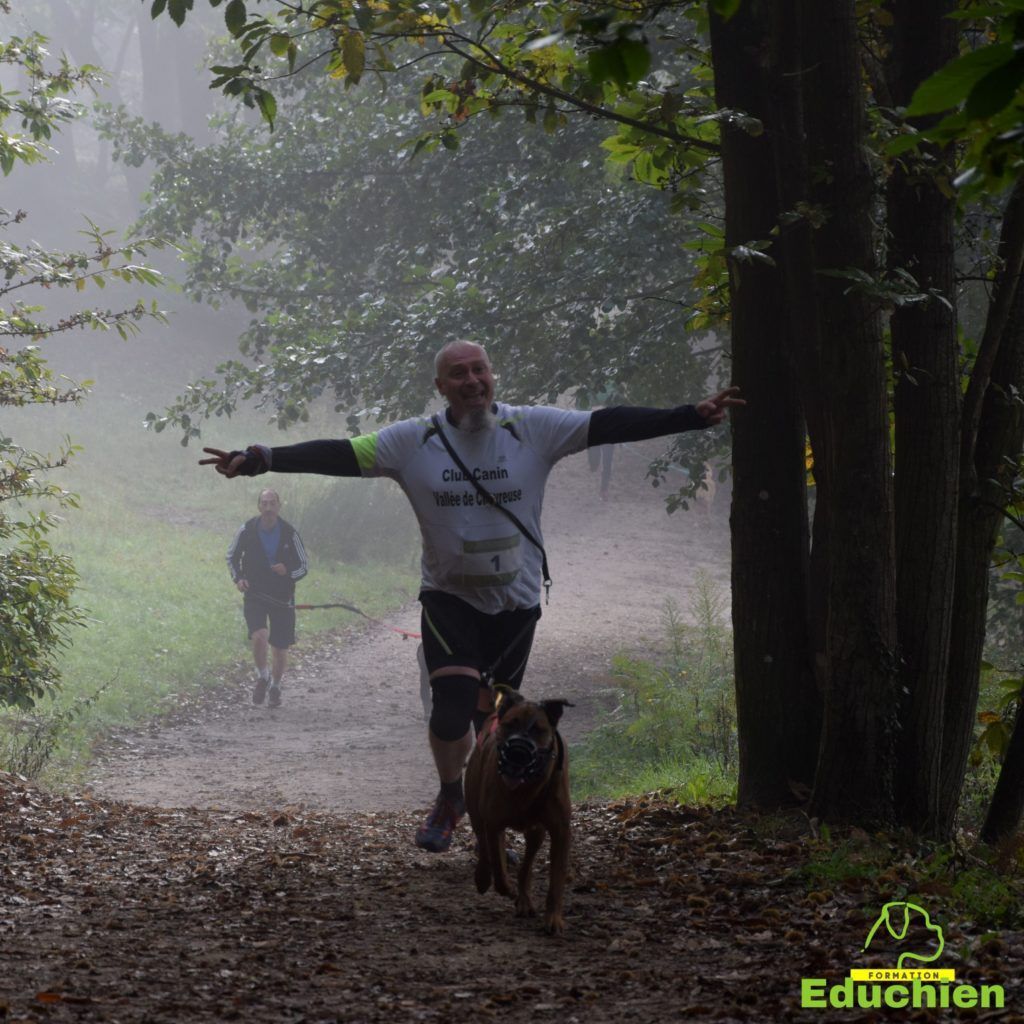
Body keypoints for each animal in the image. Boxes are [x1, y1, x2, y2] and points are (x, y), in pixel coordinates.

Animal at [466, 688, 573, 937]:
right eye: (510, 725)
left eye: (538, 729)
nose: (518, 751)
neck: (526, 788)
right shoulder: (493, 823)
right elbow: (498, 866)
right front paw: (505, 887)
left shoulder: (561, 832)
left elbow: (556, 880)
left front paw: (554, 918)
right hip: (475, 809)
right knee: (483, 846)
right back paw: (483, 877)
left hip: (536, 831)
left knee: (527, 863)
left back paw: (524, 899)